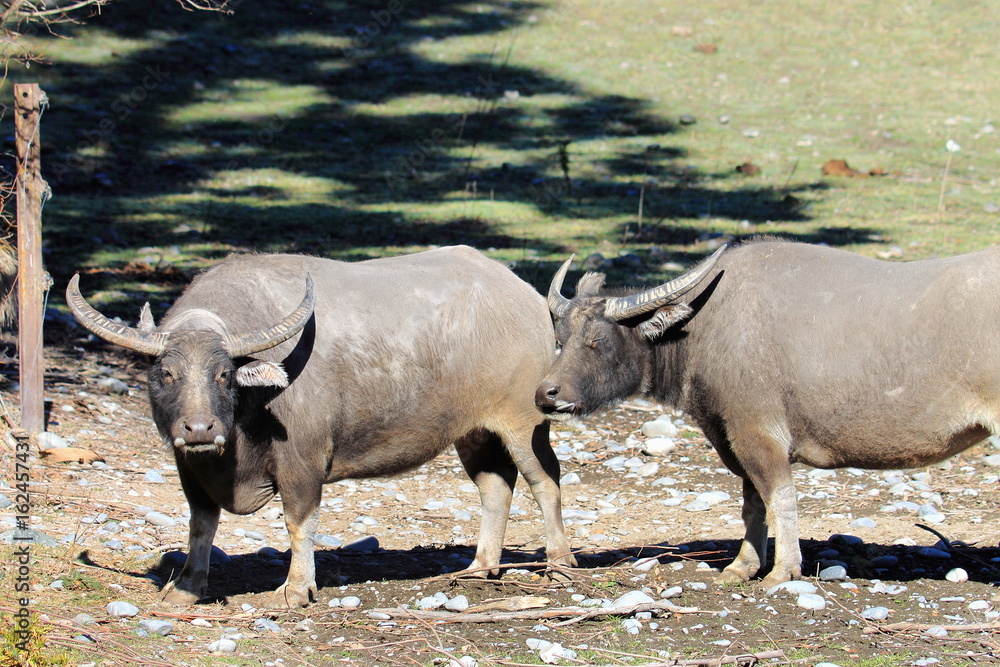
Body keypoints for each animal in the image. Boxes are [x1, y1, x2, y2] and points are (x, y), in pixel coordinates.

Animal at [67, 246, 575, 607]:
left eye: (224, 374)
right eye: (167, 373)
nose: (199, 429)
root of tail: (529, 300)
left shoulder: (303, 460)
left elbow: (299, 522)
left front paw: (296, 589)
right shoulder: (190, 467)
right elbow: (200, 523)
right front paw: (188, 587)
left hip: (523, 420)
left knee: (544, 481)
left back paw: (560, 562)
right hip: (473, 431)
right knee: (496, 486)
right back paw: (480, 566)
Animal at [537, 239, 999, 588]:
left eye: (597, 341)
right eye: (561, 336)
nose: (546, 394)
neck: (705, 328)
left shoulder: (756, 433)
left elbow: (780, 498)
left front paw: (782, 570)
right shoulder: (733, 437)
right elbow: (752, 503)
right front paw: (743, 565)